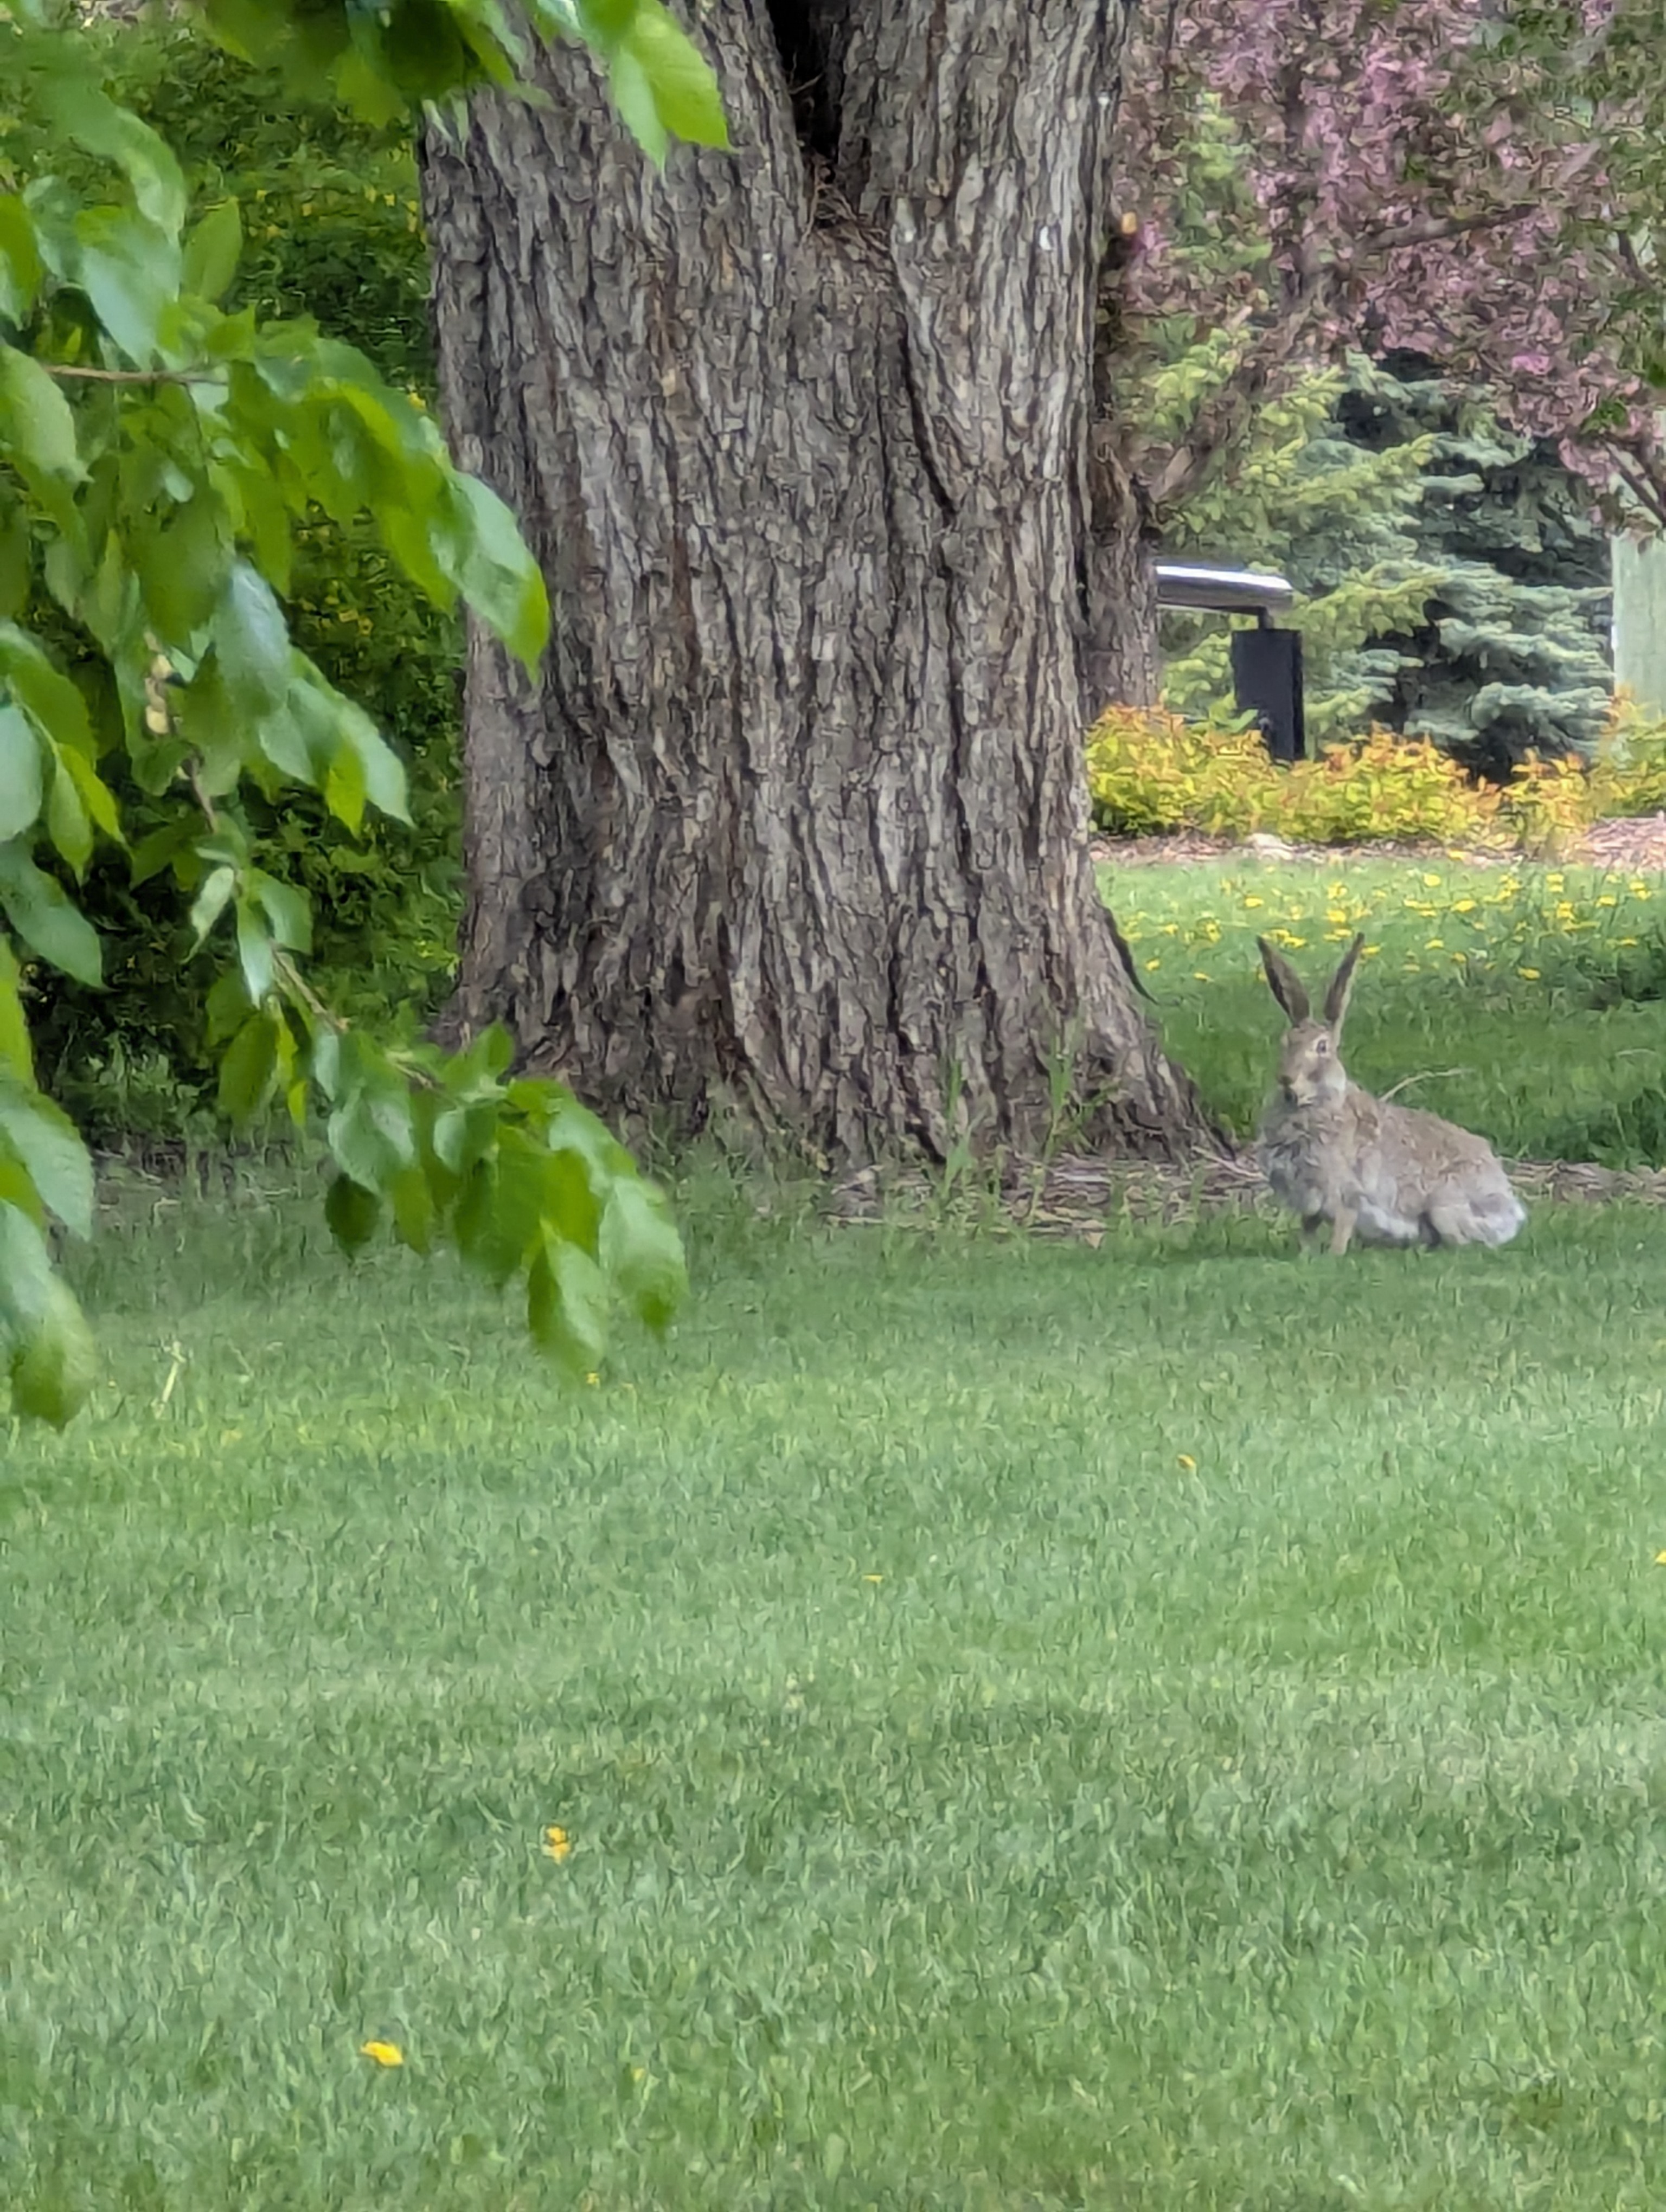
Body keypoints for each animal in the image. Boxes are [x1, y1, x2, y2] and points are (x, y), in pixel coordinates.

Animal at [1255, 932, 1527, 1255]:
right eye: (1285, 1043)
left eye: (1322, 1048)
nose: (1285, 1079)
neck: (1313, 1104)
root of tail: (1510, 1208)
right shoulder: (1312, 1205)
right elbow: (1308, 1231)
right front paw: (1305, 1256)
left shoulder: (1346, 1195)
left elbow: (1342, 1227)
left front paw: (1333, 1256)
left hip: (1444, 1207)